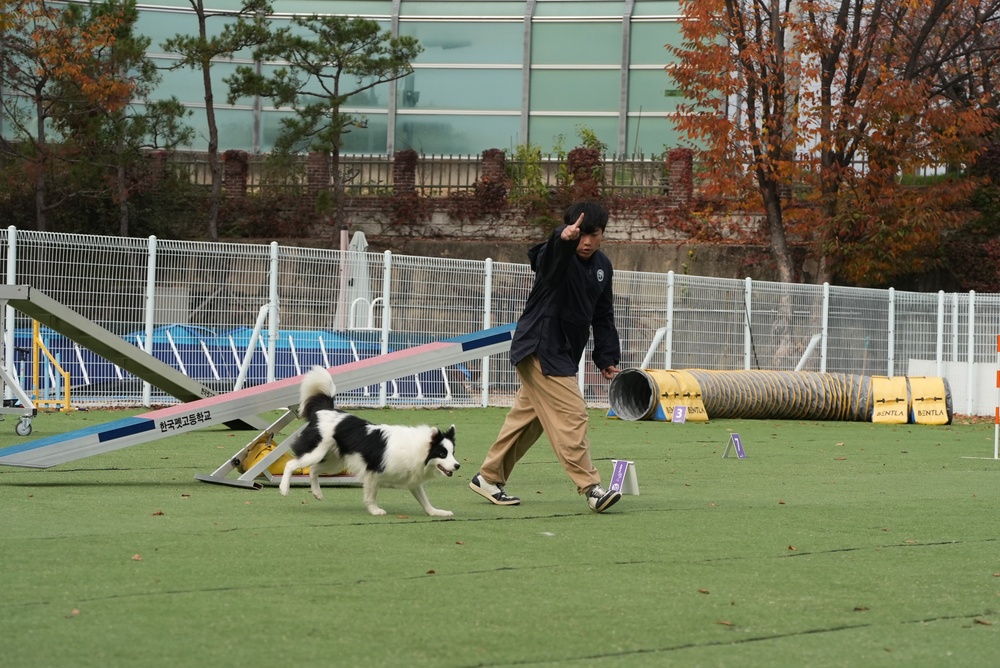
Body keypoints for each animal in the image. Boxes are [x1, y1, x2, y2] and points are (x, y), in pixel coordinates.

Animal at [280, 366, 462, 516]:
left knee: (313, 469)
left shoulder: (412, 478)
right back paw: (284, 488)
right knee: (292, 464)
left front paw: (436, 512)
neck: (417, 449)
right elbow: (372, 494)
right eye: (442, 454)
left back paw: (317, 493)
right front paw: (375, 510)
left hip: (335, 462)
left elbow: (424, 500)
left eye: (453, 453)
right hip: (316, 452)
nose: (457, 465)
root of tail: (324, 410)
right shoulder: (373, 472)